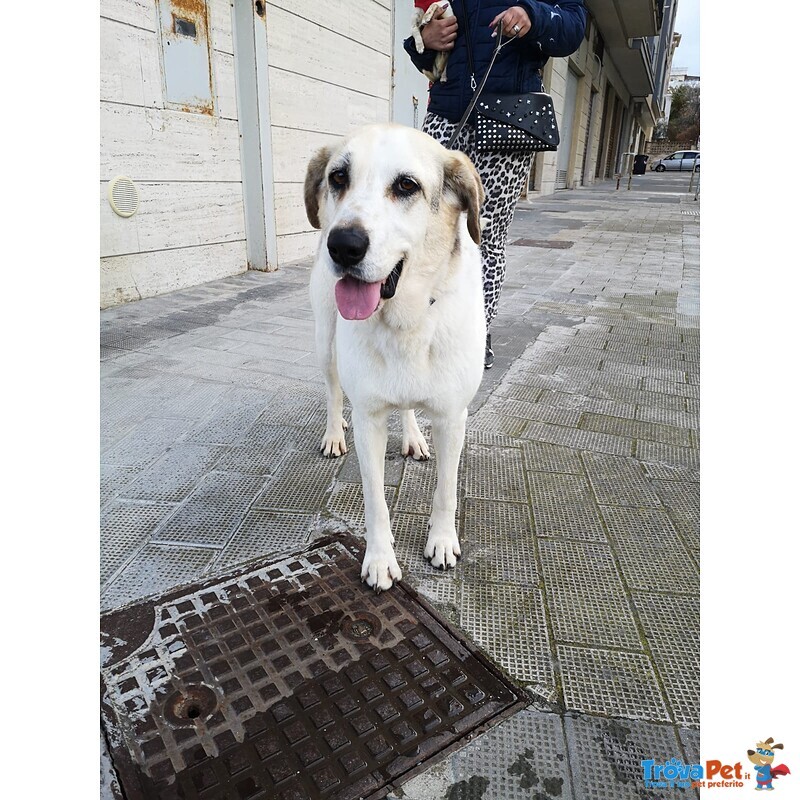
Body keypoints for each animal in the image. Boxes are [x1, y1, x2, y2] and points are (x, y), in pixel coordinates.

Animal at [304, 122, 482, 592]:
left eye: (406, 185)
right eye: (338, 177)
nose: (343, 245)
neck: (408, 320)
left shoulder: (452, 416)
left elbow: (446, 489)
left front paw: (442, 541)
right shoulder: (369, 417)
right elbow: (375, 499)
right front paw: (381, 559)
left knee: (406, 407)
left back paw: (414, 437)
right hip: (324, 341)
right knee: (332, 391)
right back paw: (334, 433)